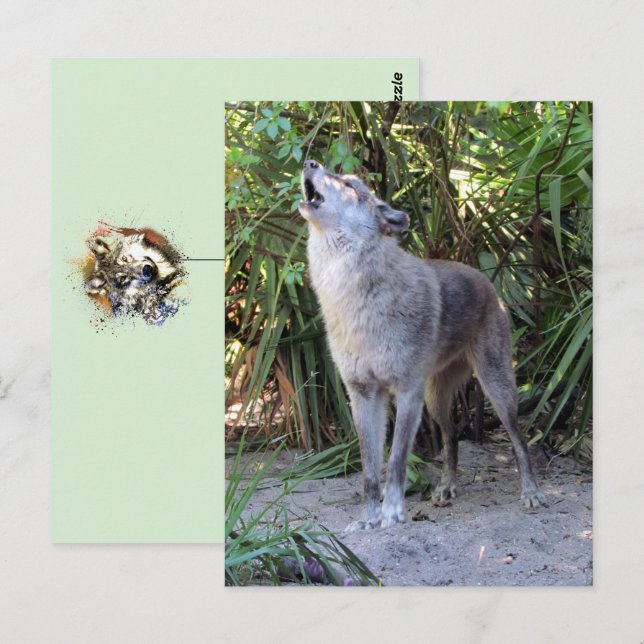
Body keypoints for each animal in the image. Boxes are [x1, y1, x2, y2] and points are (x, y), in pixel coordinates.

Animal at [298, 160, 545, 531]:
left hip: (497, 391)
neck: (354, 296)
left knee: (519, 439)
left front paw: (392, 514)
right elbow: (369, 470)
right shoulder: (363, 393)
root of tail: (484, 278)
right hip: (436, 400)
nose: (309, 162)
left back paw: (530, 492)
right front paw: (367, 520)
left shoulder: (406, 391)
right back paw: (445, 489)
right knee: (451, 437)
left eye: (350, 185)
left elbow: (396, 461)